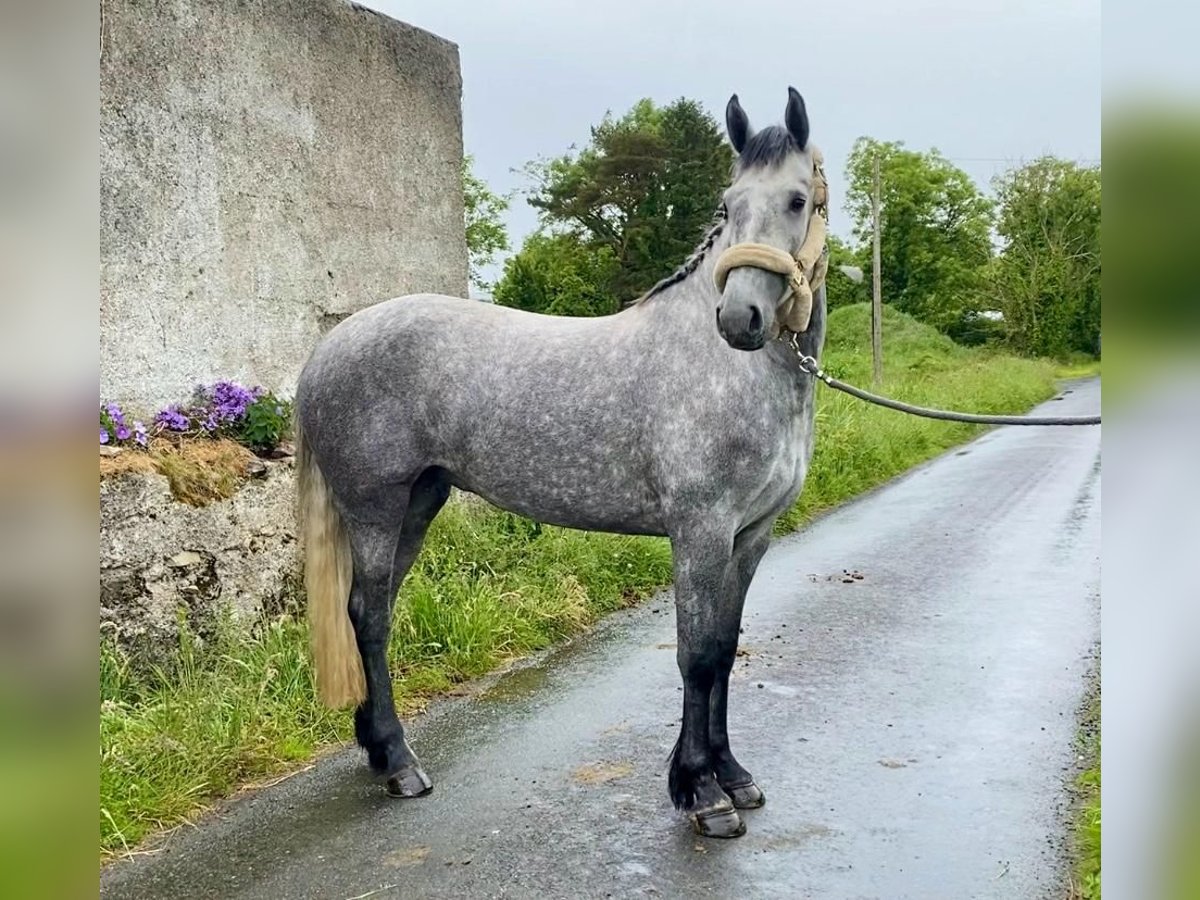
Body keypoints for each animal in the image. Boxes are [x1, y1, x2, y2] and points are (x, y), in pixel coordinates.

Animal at [295, 88, 830, 844]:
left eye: (796, 200)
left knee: (376, 610)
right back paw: (401, 764)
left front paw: (733, 776)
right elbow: (695, 655)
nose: (740, 319)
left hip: (418, 504)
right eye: (728, 204)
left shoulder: (751, 536)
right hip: (375, 507)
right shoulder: (700, 532)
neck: (725, 368)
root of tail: (328, 348)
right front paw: (702, 793)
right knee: (368, 617)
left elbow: (724, 650)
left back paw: (377, 747)